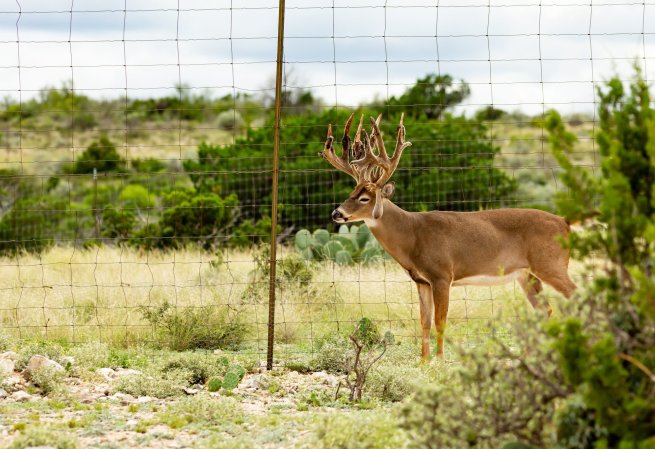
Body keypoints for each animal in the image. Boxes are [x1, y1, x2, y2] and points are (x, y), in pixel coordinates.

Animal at [320, 112, 576, 360]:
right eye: (351, 192)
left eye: (365, 198)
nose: (336, 213)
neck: (412, 235)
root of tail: (565, 222)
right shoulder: (421, 280)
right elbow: (423, 322)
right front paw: (423, 363)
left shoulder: (442, 275)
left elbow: (440, 322)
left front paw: (441, 362)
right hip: (526, 274)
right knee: (545, 309)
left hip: (550, 264)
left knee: (574, 294)